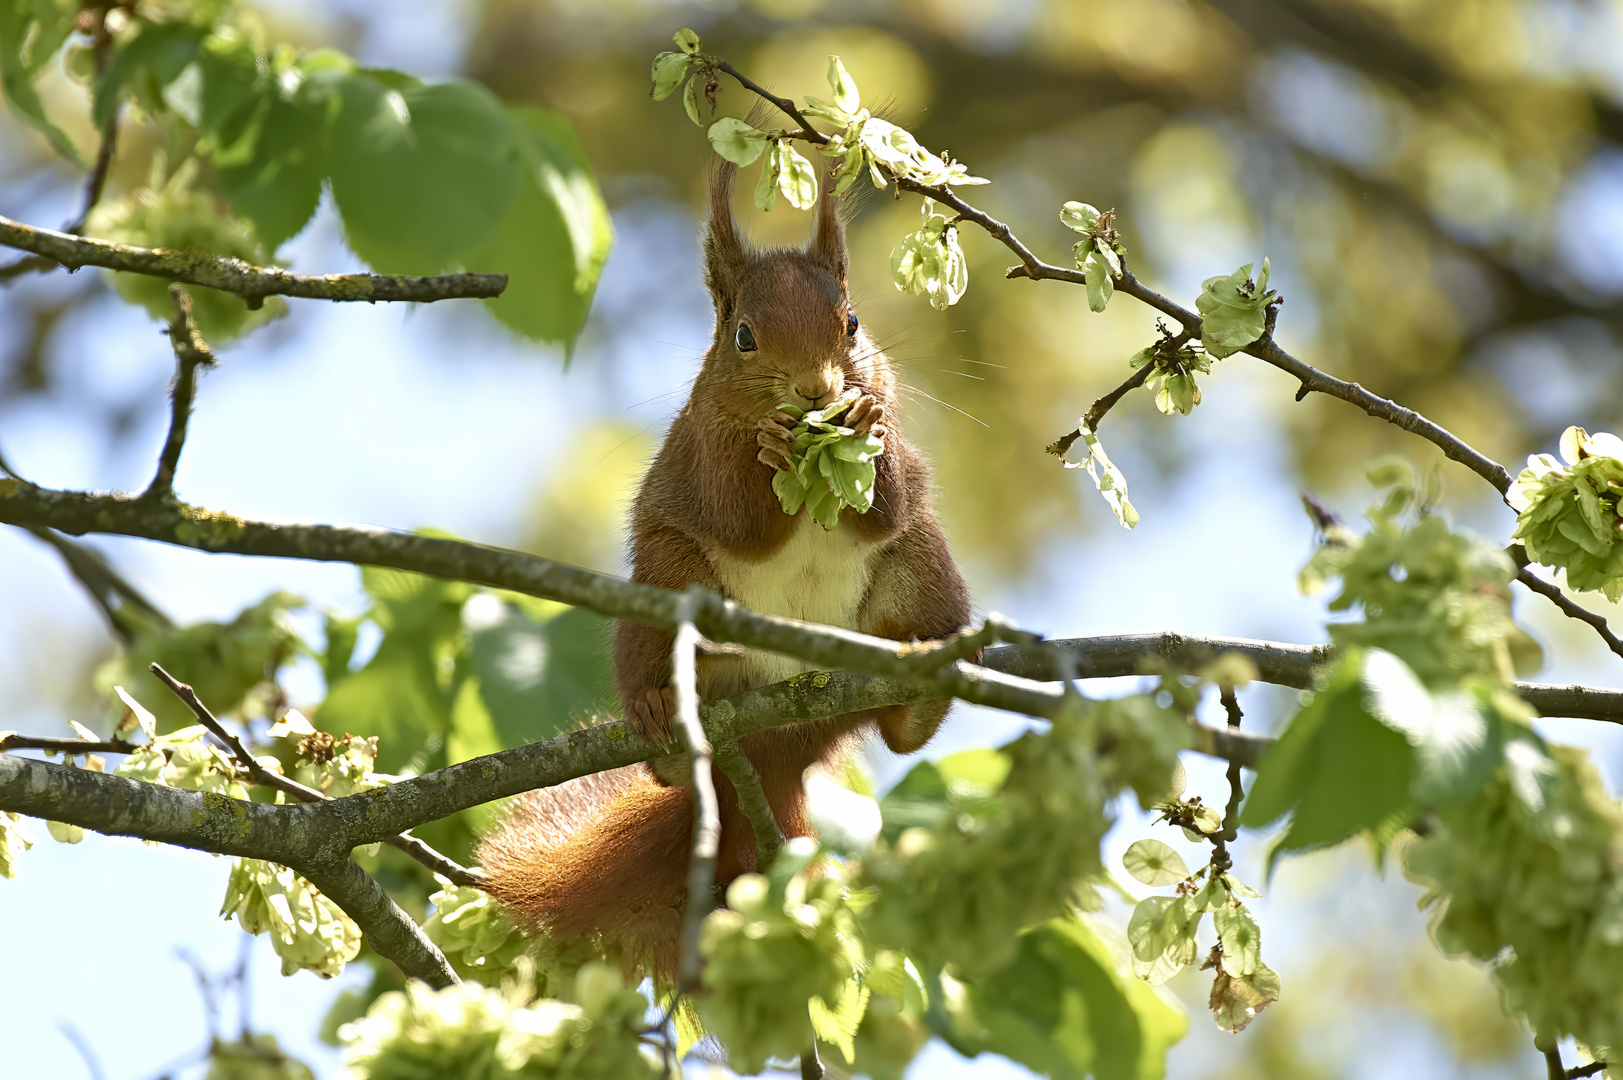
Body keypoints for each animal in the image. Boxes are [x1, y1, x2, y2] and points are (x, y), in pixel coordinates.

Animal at [473, 164, 967, 980]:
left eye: (852, 325)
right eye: (743, 336)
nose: (815, 390)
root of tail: (780, 733)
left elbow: (885, 502)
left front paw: (863, 425)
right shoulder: (702, 453)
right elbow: (740, 518)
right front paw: (768, 454)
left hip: (922, 570)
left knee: (900, 731)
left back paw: (921, 683)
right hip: (667, 586)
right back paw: (661, 714)